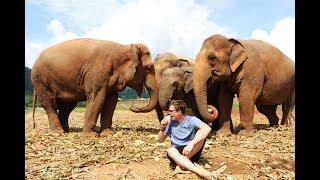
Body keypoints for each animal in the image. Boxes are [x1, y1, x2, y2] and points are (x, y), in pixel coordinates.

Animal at [31, 38, 159, 136]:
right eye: (149, 68)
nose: (135, 104)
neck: (124, 47)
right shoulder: (97, 72)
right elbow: (97, 97)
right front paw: (90, 136)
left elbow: (111, 102)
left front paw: (107, 134)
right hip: (41, 81)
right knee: (50, 104)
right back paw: (59, 132)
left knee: (68, 106)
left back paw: (67, 130)